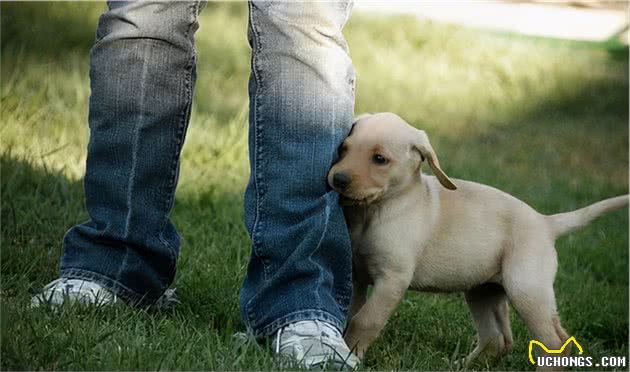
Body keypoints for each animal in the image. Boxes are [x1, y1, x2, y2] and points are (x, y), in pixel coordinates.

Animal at [328, 112, 628, 364]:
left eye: (380, 159)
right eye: (344, 149)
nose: (337, 179)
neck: (375, 210)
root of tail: (545, 222)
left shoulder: (392, 280)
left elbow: (365, 320)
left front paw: (349, 356)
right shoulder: (356, 275)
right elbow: (350, 313)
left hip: (526, 289)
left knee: (555, 341)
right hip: (483, 291)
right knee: (498, 340)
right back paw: (462, 366)